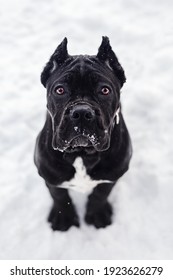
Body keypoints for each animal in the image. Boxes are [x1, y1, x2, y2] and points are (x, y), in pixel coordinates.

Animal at [33, 36, 132, 231]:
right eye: (60, 90)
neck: (81, 153)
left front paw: (97, 214)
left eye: (105, 90)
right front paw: (63, 218)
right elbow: (59, 196)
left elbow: (100, 195)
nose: (81, 112)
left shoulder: (111, 176)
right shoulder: (50, 176)